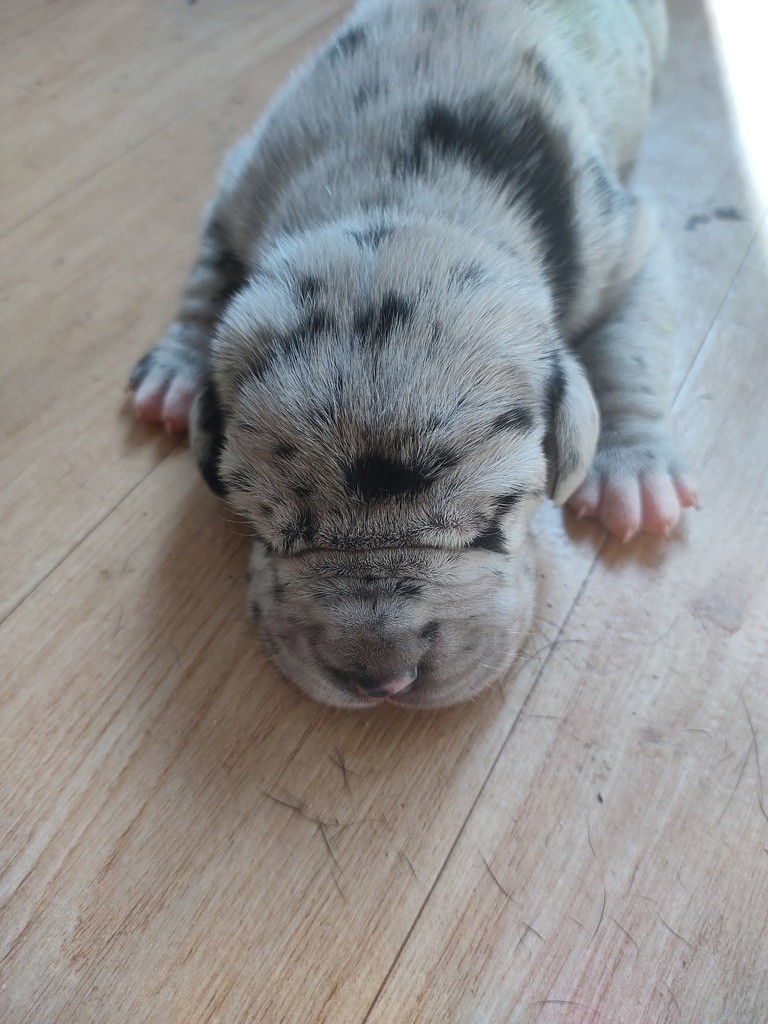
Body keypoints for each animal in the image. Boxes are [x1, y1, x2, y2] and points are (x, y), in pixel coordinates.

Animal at [129, 0, 697, 708]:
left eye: (492, 523)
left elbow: (630, 344)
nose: (383, 677)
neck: (402, 189)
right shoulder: (241, 186)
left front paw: (635, 472)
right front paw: (177, 368)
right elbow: (207, 276)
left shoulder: (623, 242)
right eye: (269, 529)